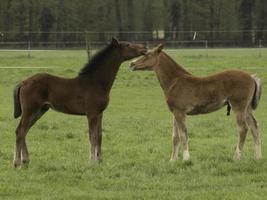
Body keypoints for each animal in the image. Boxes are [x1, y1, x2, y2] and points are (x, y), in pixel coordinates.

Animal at [13, 38, 147, 167]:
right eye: (128, 45)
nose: (144, 48)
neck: (96, 82)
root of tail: (23, 82)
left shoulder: (100, 114)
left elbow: (99, 135)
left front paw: (100, 160)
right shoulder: (92, 114)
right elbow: (92, 136)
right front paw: (92, 161)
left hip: (40, 110)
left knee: (24, 132)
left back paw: (25, 161)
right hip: (30, 110)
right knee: (20, 131)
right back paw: (17, 162)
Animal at [131, 44, 262, 162]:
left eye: (147, 54)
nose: (131, 64)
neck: (175, 81)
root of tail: (251, 77)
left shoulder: (180, 112)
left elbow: (183, 135)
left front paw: (186, 159)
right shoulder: (174, 113)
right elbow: (175, 137)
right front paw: (172, 160)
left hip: (238, 106)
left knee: (243, 129)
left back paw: (236, 157)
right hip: (247, 108)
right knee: (254, 127)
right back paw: (258, 157)